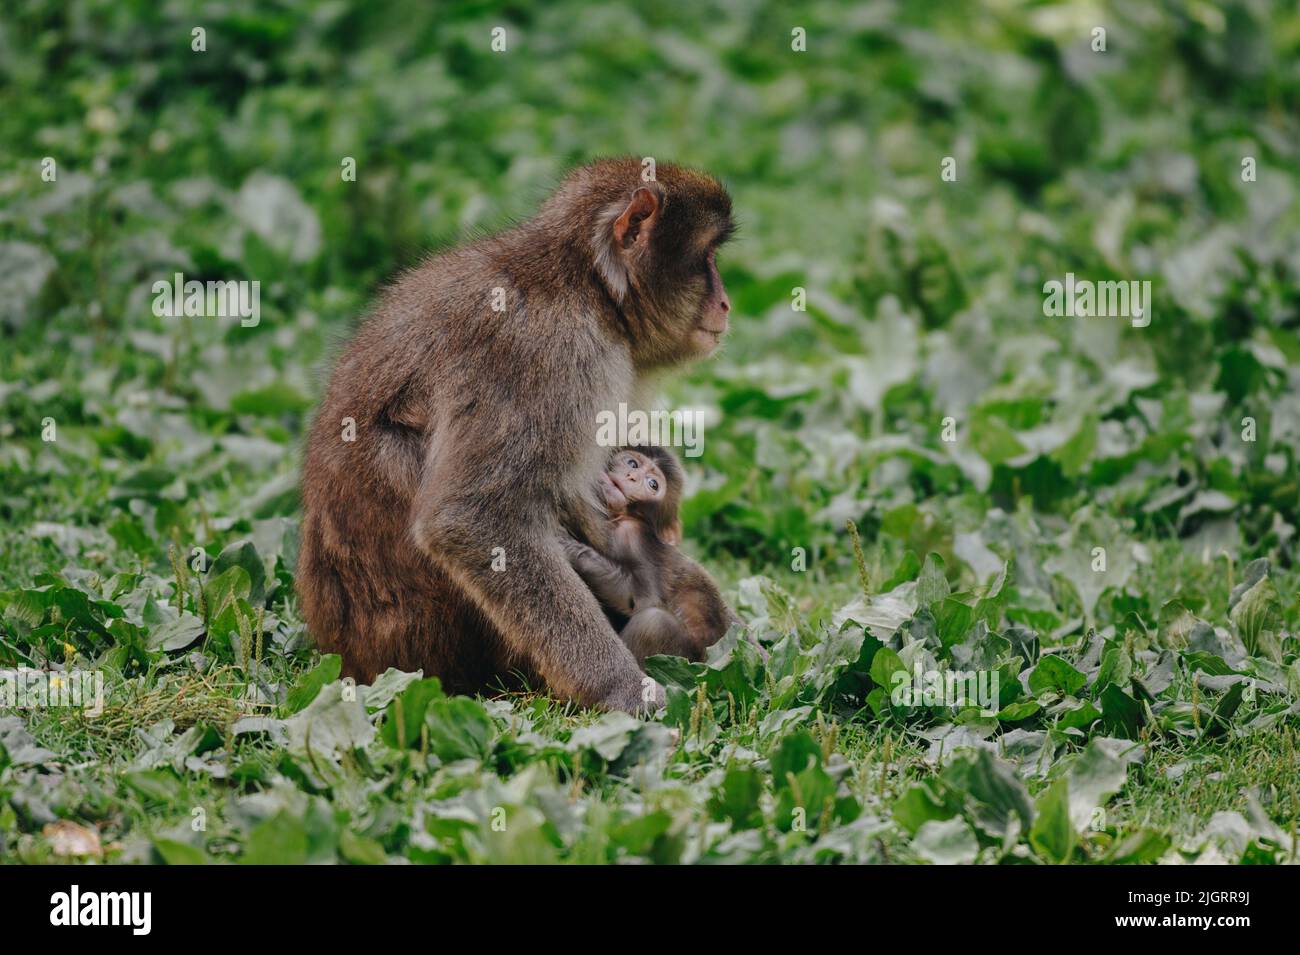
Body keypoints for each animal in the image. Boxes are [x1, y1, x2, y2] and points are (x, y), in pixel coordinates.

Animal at [561, 446, 739, 665]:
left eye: (653, 484)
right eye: (632, 463)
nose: (632, 477)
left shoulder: (635, 536)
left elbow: (640, 599)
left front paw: (572, 548)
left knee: (654, 623)